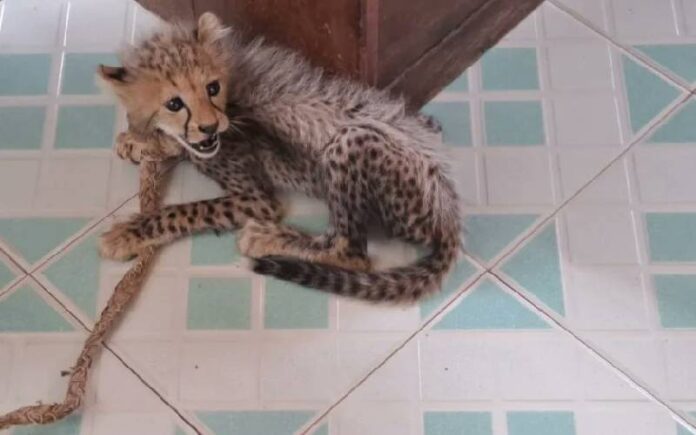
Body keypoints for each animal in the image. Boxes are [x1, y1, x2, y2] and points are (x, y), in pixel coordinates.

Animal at [98, 12, 462, 302]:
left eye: (212, 88)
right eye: (174, 103)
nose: (209, 126)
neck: (232, 96)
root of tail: (448, 208)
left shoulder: (258, 199)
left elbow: (187, 210)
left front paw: (129, 233)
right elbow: (178, 142)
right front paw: (140, 139)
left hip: (352, 140)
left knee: (351, 252)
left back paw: (267, 237)